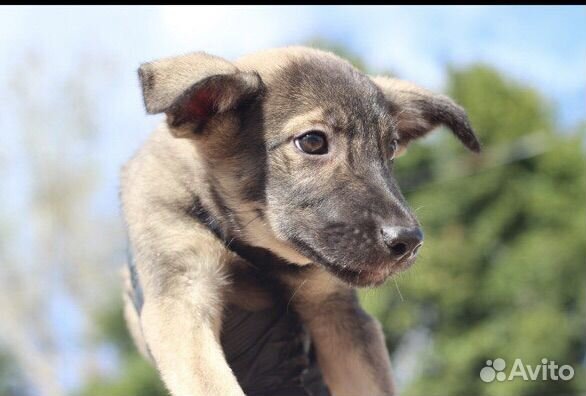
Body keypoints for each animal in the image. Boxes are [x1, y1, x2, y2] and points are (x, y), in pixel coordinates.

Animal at [120, 46, 480, 396]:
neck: (252, 249)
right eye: (312, 141)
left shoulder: (337, 311)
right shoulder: (180, 300)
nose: (409, 241)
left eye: (390, 148)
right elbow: (214, 386)